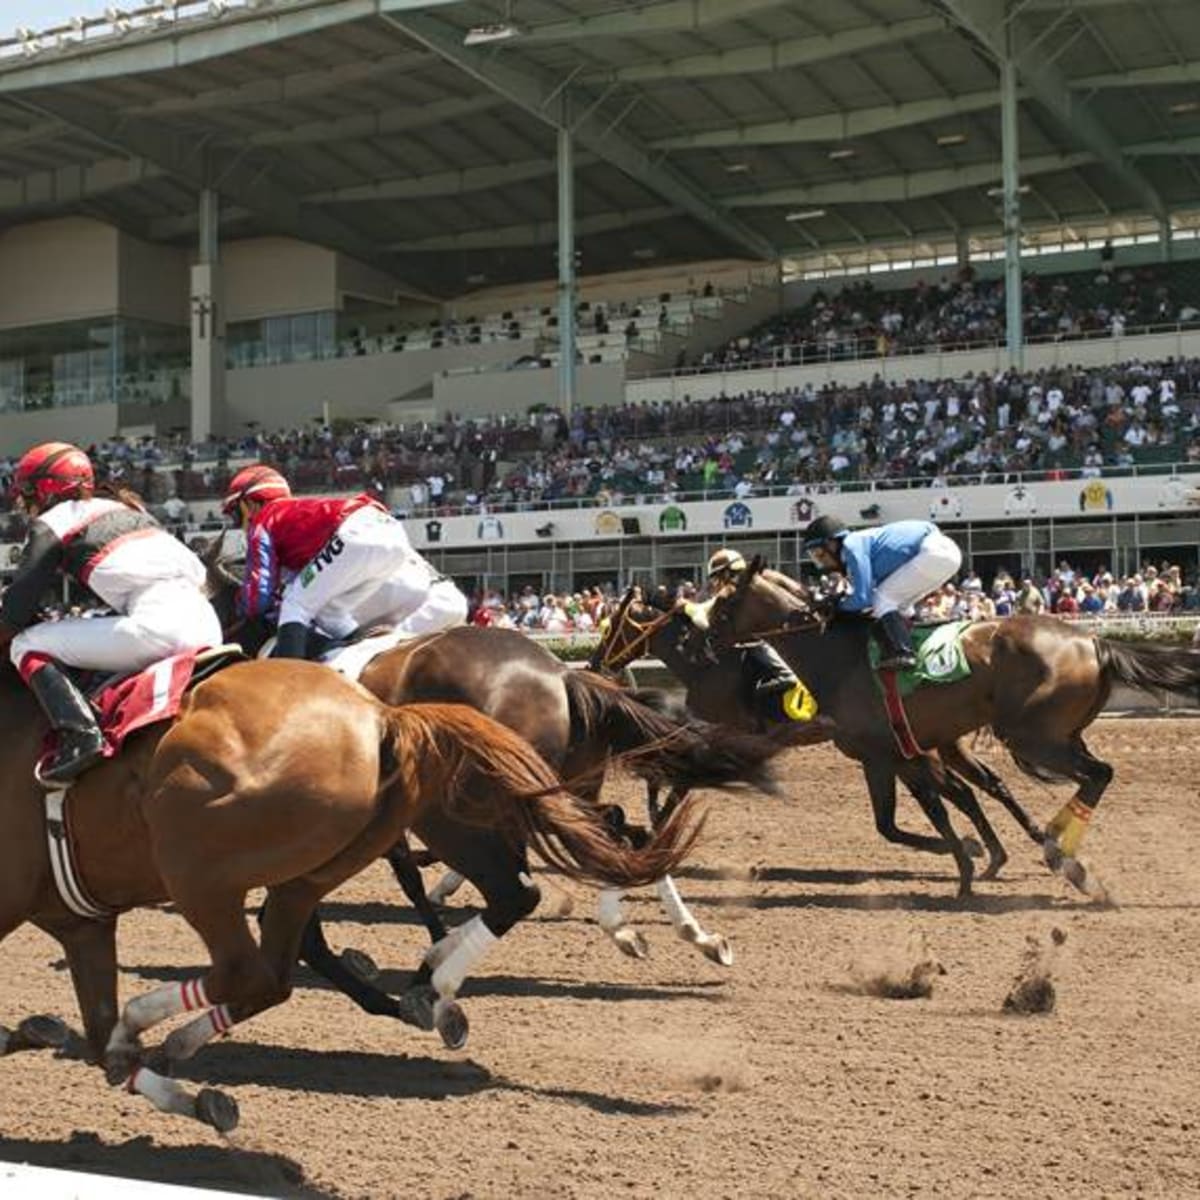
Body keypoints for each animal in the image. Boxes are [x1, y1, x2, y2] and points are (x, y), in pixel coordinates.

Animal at [0, 657, 700, 1132]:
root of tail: (384, 714)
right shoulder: (81, 921)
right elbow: (94, 1027)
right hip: (344, 857)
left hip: (198, 865)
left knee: (247, 971)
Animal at [700, 556, 1200, 897]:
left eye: (724, 603)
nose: (700, 639)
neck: (837, 657)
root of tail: (1093, 639)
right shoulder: (893, 756)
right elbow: (905, 819)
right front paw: (977, 857)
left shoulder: (892, 754)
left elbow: (928, 813)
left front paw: (965, 869)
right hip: (1056, 735)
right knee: (1068, 777)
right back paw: (1052, 845)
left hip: (1033, 737)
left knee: (1098, 774)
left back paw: (1059, 853)